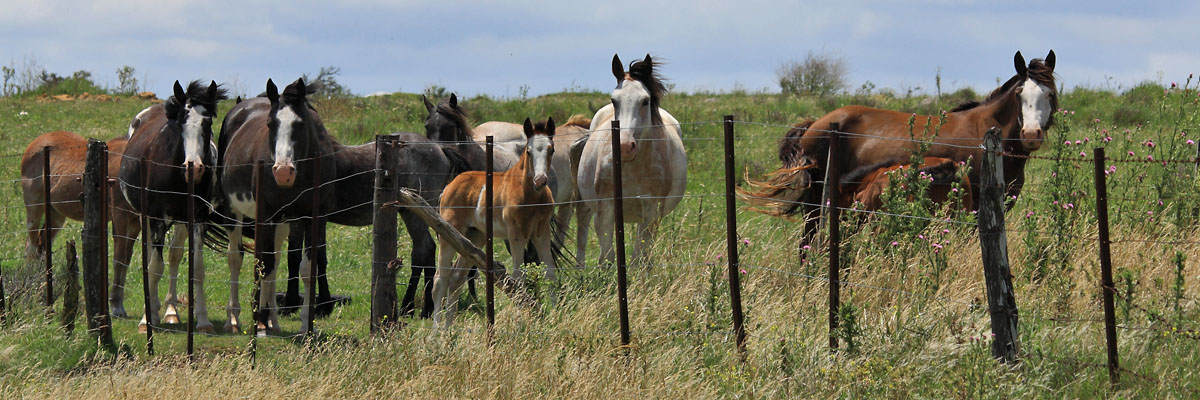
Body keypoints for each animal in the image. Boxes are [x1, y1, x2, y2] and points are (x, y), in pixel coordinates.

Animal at [119, 79, 226, 331]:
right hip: (145, 218)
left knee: (174, 255)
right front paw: (147, 320)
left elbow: (197, 268)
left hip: (180, 222)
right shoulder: (157, 219)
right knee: (151, 258)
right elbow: (154, 267)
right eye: (181, 121)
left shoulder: (198, 219)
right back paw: (153, 309)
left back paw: (170, 311)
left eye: (208, 122)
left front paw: (203, 321)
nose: (193, 167)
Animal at [432, 117, 556, 326]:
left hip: (473, 236)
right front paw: (520, 321)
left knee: (456, 277)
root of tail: (449, 187)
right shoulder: (516, 234)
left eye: (551, 150)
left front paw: (559, 313)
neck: (529, 193)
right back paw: (436, 331)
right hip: (449, 233)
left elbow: (550, 271)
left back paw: (448, 328)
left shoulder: (541, 232)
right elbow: (518, 276)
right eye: (528, 151)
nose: (540, 181)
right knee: (441, 278)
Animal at [576, 52, 691, 264]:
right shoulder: (605, 209)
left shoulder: (651, 212)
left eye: (645, 101)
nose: (624, 146)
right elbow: (607, 258)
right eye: (614, 100)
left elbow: (640, 259)